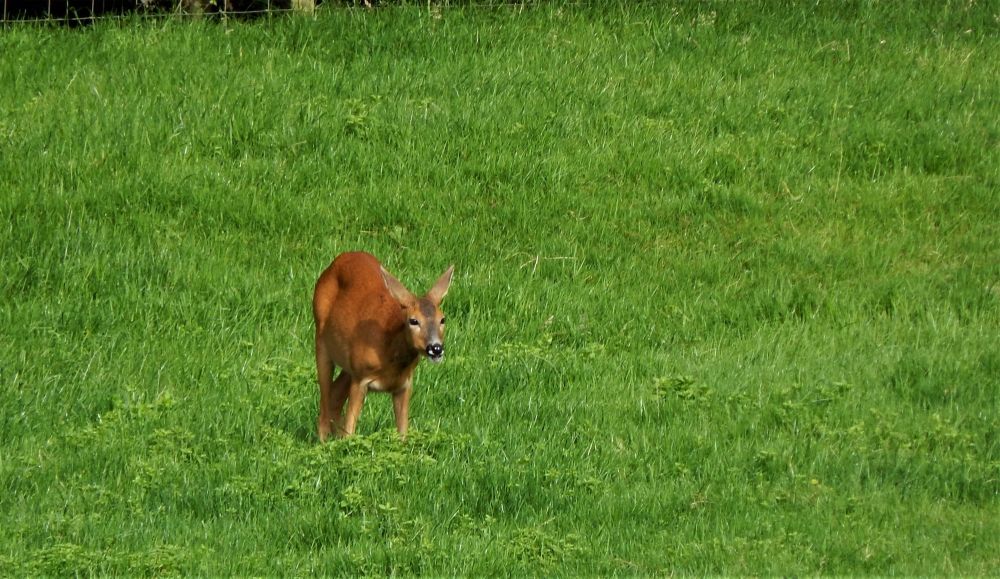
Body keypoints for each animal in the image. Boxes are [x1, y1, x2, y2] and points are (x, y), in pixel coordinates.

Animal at [312, 251, 454, 442]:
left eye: (442, 319)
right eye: (413, 320)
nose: (436, 348)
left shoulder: (404, 384)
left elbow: (403, 433)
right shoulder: (360, 378)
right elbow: (350, 429)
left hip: (348, 364)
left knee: (334, 393)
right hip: (321, 340)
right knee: (325, 397)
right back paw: (324, 441)